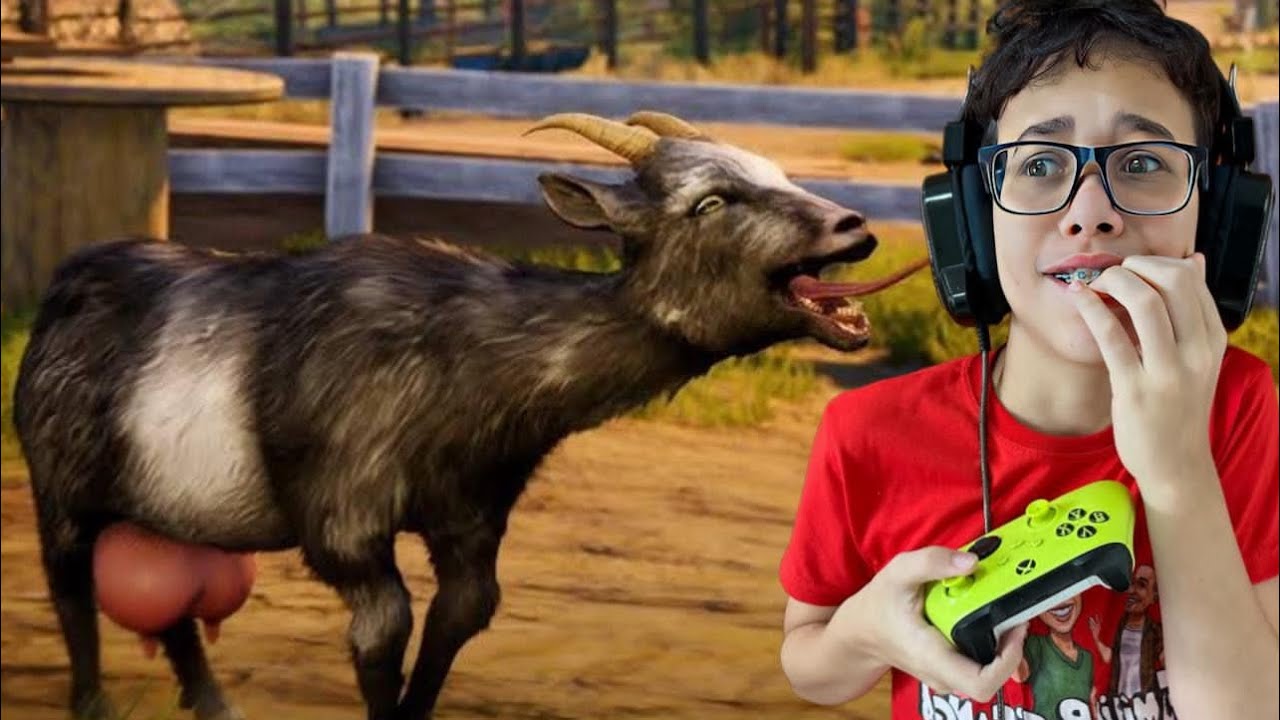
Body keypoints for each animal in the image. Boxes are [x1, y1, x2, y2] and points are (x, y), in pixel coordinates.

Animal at [13, 111, 926, 720]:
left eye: (776, 173)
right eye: (709, 201)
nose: (853, 226)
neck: (467, 358)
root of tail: (65, 287)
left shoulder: (473, 513)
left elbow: (462, 615)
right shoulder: (345, 521)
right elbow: (384, 631)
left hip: (168, 511)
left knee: (169, 605)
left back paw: (212, 706)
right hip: (60, 486)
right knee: (69, 583)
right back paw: (93, 704)